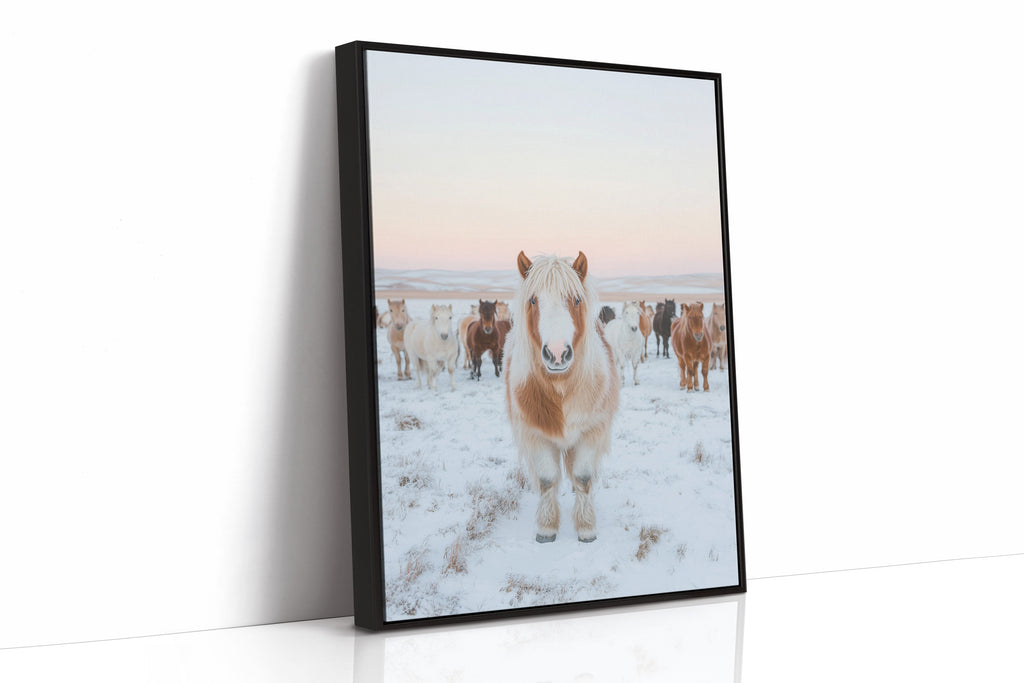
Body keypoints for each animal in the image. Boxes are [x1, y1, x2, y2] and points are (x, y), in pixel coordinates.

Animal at [505, 251, 619, 543]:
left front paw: (587, 528)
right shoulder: (536, 434)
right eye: (533, 300)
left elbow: (583, 477)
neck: (562, 387)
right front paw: (546, 528)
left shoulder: (592, 430)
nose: (557, 354)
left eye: (576, 300)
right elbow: (547, 479)